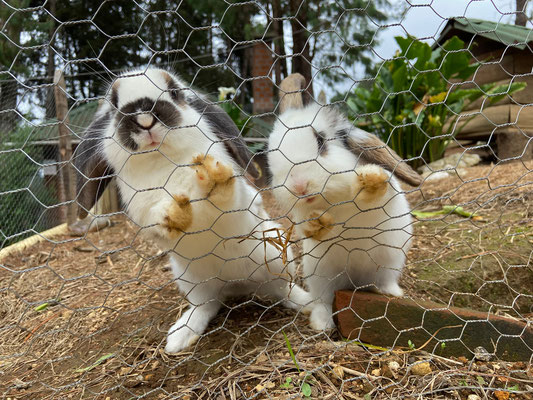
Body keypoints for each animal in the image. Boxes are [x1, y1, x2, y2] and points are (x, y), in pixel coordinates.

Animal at [72, 68, 310, 354]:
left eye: (174, 92)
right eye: (115, 105)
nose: (144, 118)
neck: (162, 160)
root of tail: (237, 284)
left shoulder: (238, 199)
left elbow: (226, 195)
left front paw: (213, 176)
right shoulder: (143, 212)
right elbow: (157, 217)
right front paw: (172, 212)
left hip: (275, 256)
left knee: (283, 290)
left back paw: (309, 304)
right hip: (190, 279)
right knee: (207, 304)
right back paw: (179, 338)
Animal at [266, 73, 420, 330]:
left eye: (321, 141)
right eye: (271, 151)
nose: (299, 186)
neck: (334, 199)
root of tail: (353, 281)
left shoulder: (386, 198)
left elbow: (375, 191)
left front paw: (369, 179)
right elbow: (308, 225)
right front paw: (316, 222)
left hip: (390, 261)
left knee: (382, 282)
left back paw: (392, 293)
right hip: (320, 274)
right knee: (324, 300)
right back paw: (322, 324)